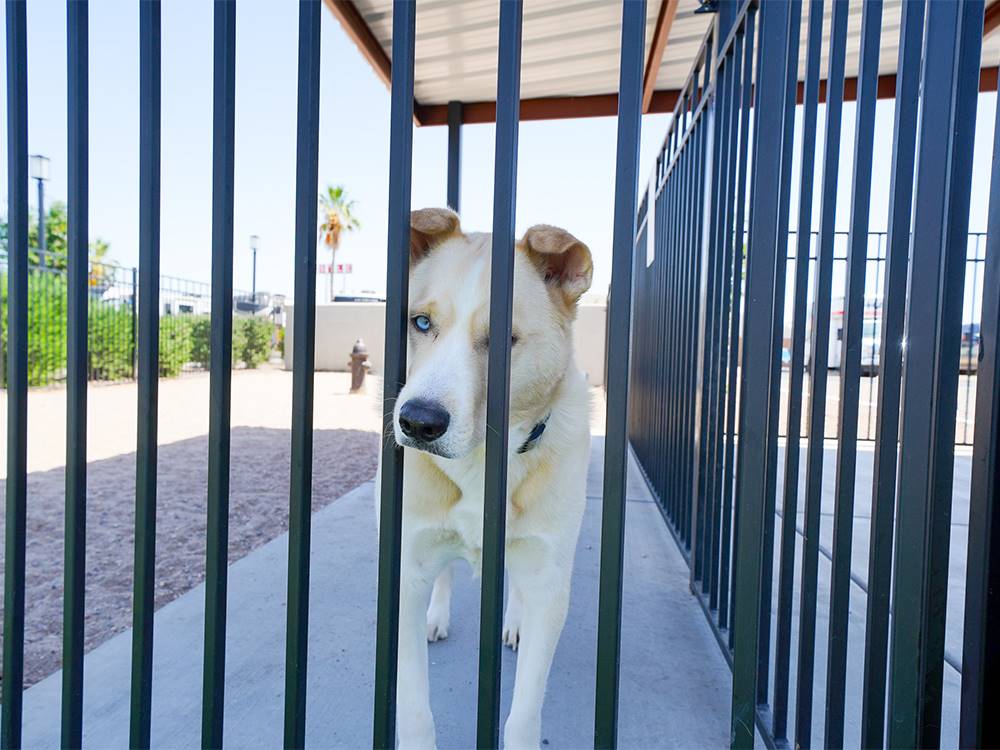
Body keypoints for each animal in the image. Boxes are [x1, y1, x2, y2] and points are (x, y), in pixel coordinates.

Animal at [376, 207, 592, 750]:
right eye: (421, 322)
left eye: (501, 341)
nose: (418, 422)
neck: (480, 459)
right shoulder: (404, 569)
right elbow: (414, 708)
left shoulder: (549, 580)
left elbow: (523, 715)